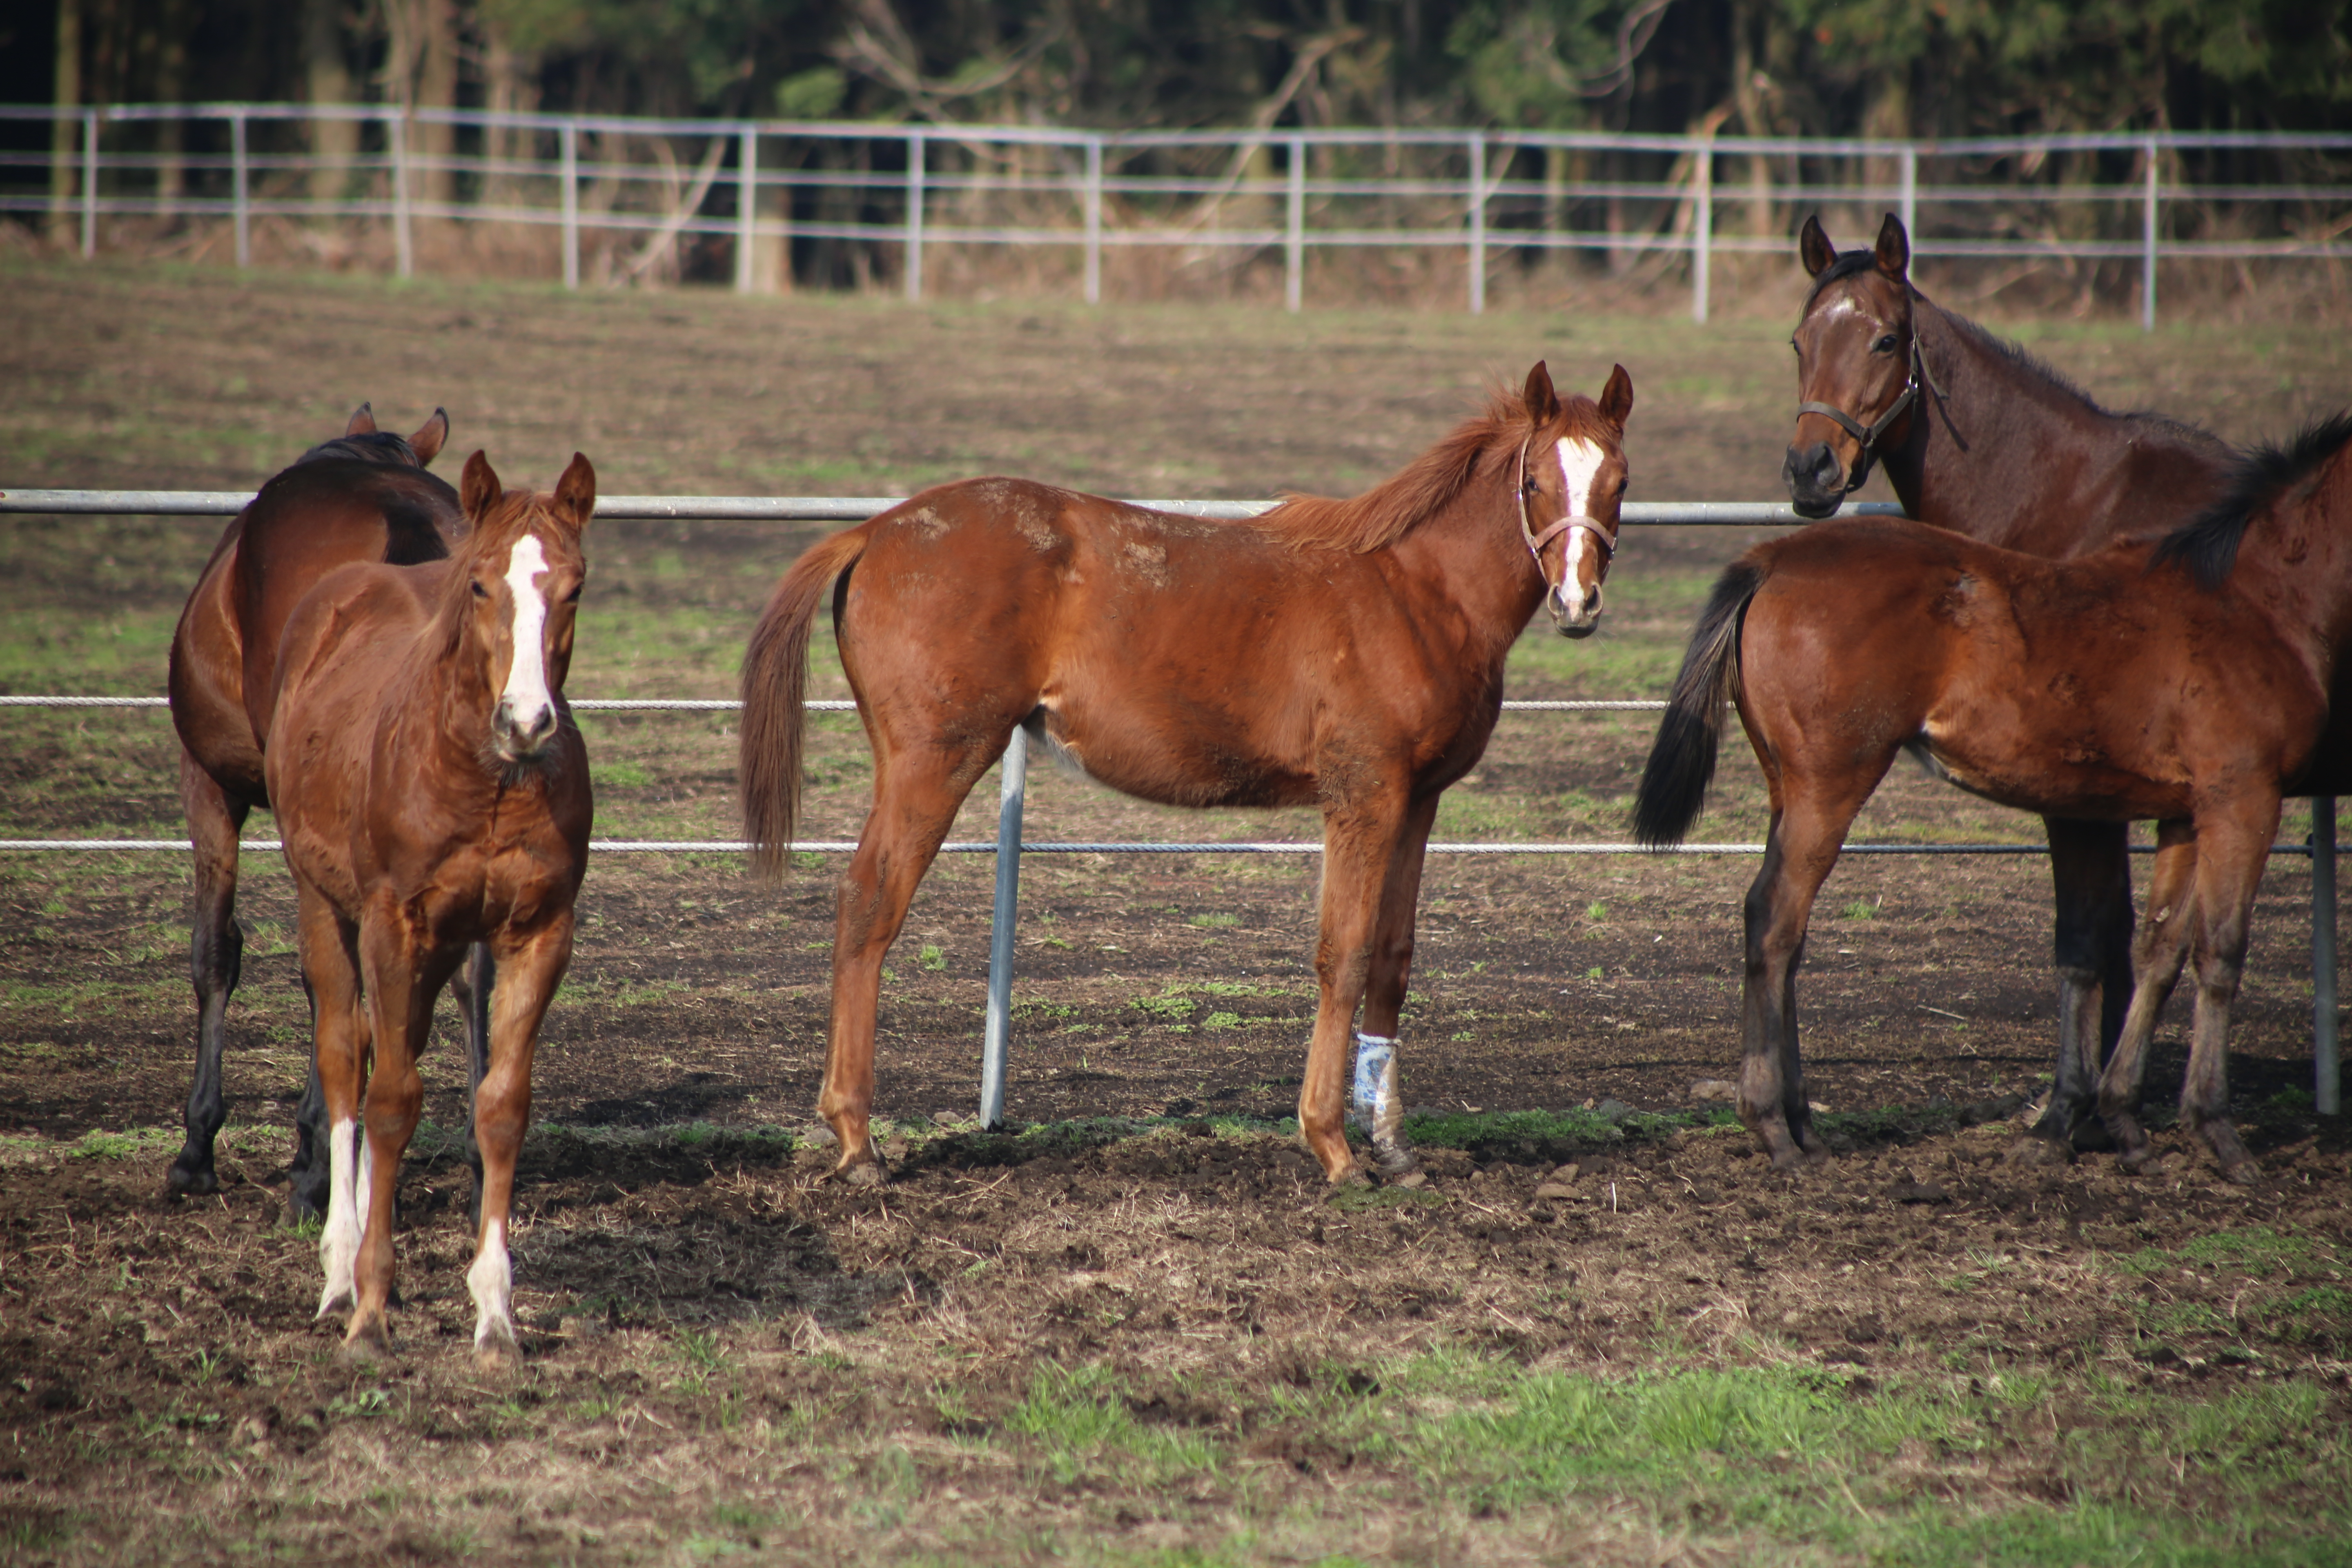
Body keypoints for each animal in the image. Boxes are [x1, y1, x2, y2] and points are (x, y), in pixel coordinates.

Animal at [166, 402, 501, 1213]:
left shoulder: (209, 784)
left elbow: (217, 951)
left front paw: (199, 1147)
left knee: (338, 978)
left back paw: (319, 1166)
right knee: (467, 973)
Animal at [269, 451, 597, 1363]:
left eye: (575, 587)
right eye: (481, 585)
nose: (527, 721)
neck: (484, 780)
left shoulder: (536, 934)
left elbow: (500, 1105)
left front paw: (496, 1313)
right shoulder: (394, 923)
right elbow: (390, 1102)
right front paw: (372, 1308)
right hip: (326, 906)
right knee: (347, 1061)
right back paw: (339, 1272)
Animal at [743, 362, 1627, 1185]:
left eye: (1618, 482)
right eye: (1534, 481)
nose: (1578, 603)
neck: (1411, 590)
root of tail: (875, 531)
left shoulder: (1418, 803)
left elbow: (1392, 959)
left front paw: (1395, 1148)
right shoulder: (1362, 796)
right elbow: (1342, 955)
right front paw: (1334, 1145)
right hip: (935, 761)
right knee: (868, 908)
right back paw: (857, 1140)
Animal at [1637, 411, 2352, 1185]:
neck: (2254, 597)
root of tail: (1772, 556)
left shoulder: (2185, 813)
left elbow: (2160, 950)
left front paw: (2126, 1122)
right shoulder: (2242, 798)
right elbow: (2220, 954)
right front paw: (2217, 1132)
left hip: (1784, 787)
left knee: (1783, 935)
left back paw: (1802, 1123)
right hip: (1829, 786)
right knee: (1774, 921)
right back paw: (1774, 1127)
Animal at [1768, 212, 2230, 1166]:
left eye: (1884, 339)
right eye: (1800, 341)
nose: (1809, 471)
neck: (2074, 500)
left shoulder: (2084, 790)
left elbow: (2091, 937)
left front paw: (2072, 1110)